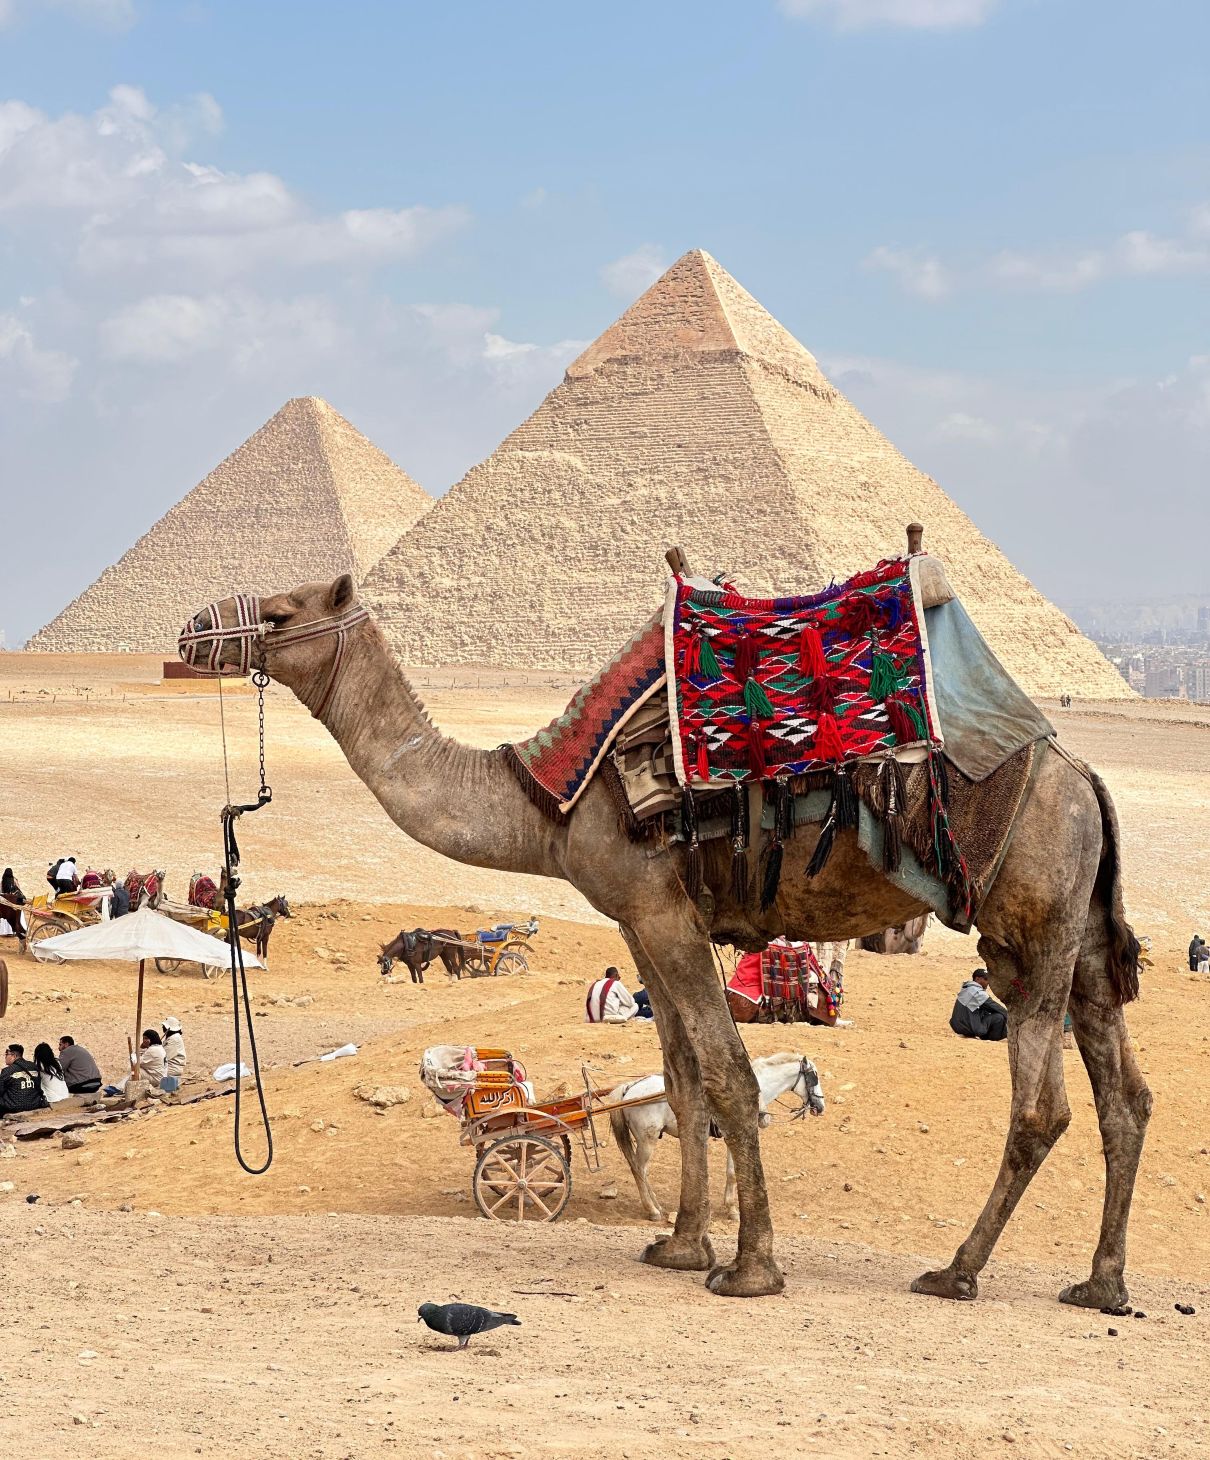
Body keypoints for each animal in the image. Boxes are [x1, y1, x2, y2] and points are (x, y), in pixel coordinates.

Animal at [180, 570, 1149, 1307]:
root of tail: (1085, 777)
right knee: (1125, 1099)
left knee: (1042, 1106)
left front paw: (750, 1268)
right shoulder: (637, 916)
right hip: (1079, 935)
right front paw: (682, 1245)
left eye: (281, 612)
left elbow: (727, 1075)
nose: (193, 630)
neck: (547, 804)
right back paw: (1099, 1285)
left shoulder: (659, 908)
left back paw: (956, 1272)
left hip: (1030, 918)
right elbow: (680, 1081)